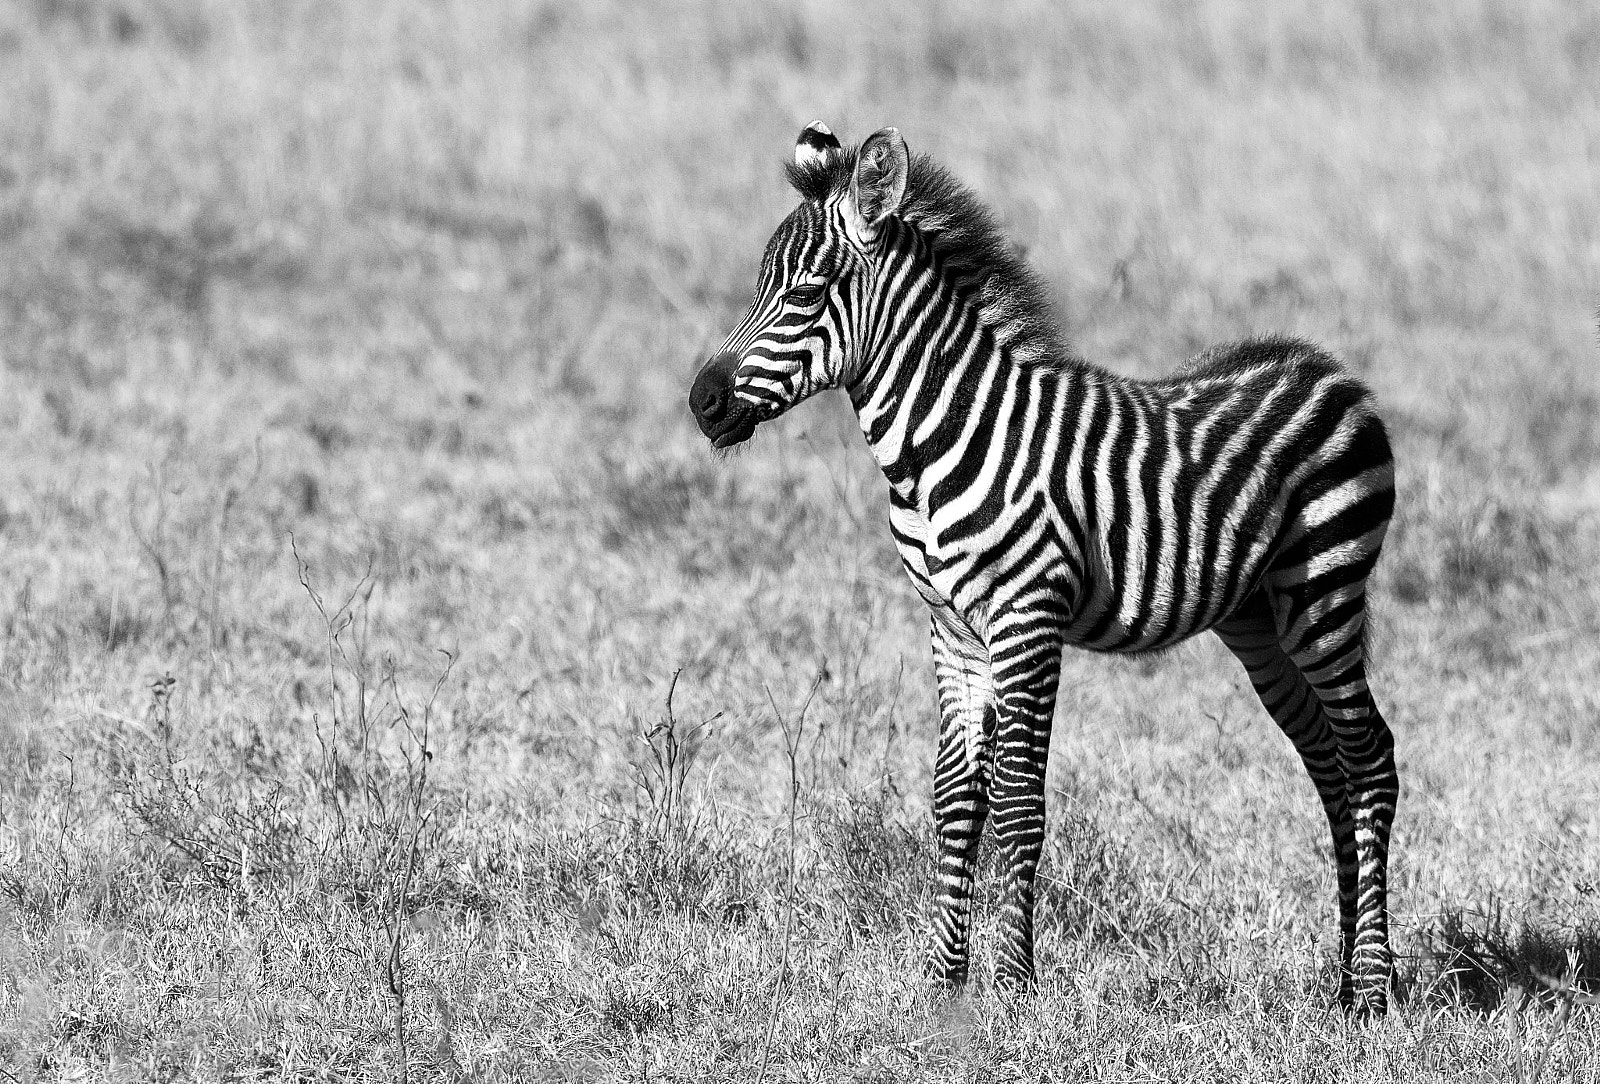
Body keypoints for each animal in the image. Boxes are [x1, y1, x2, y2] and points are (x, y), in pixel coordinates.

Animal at [688, 122, 1400, 1016]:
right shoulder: (953, 632)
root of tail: (1331, 368)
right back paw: (1342, 981)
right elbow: (957, 799)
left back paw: (1373, 988)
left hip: (1323, 593)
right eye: (759, 287)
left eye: (808, 292)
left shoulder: (1028, 619)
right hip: (1258, 623)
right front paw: (943, 983)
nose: (702, 403)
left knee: (1371, 759)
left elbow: (1021, 802)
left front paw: (1014, 985)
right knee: (1330, 766)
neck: (940, 441)